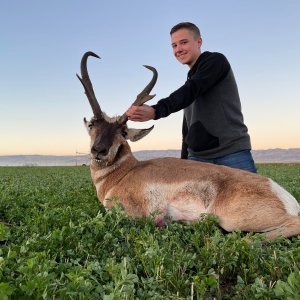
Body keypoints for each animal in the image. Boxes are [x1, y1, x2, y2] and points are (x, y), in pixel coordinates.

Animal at [77, 51, 300, 239]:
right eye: (92, 125)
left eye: (123, 132)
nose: (99, 150)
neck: (125, 172)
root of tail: (282, 195)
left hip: (233, 220)